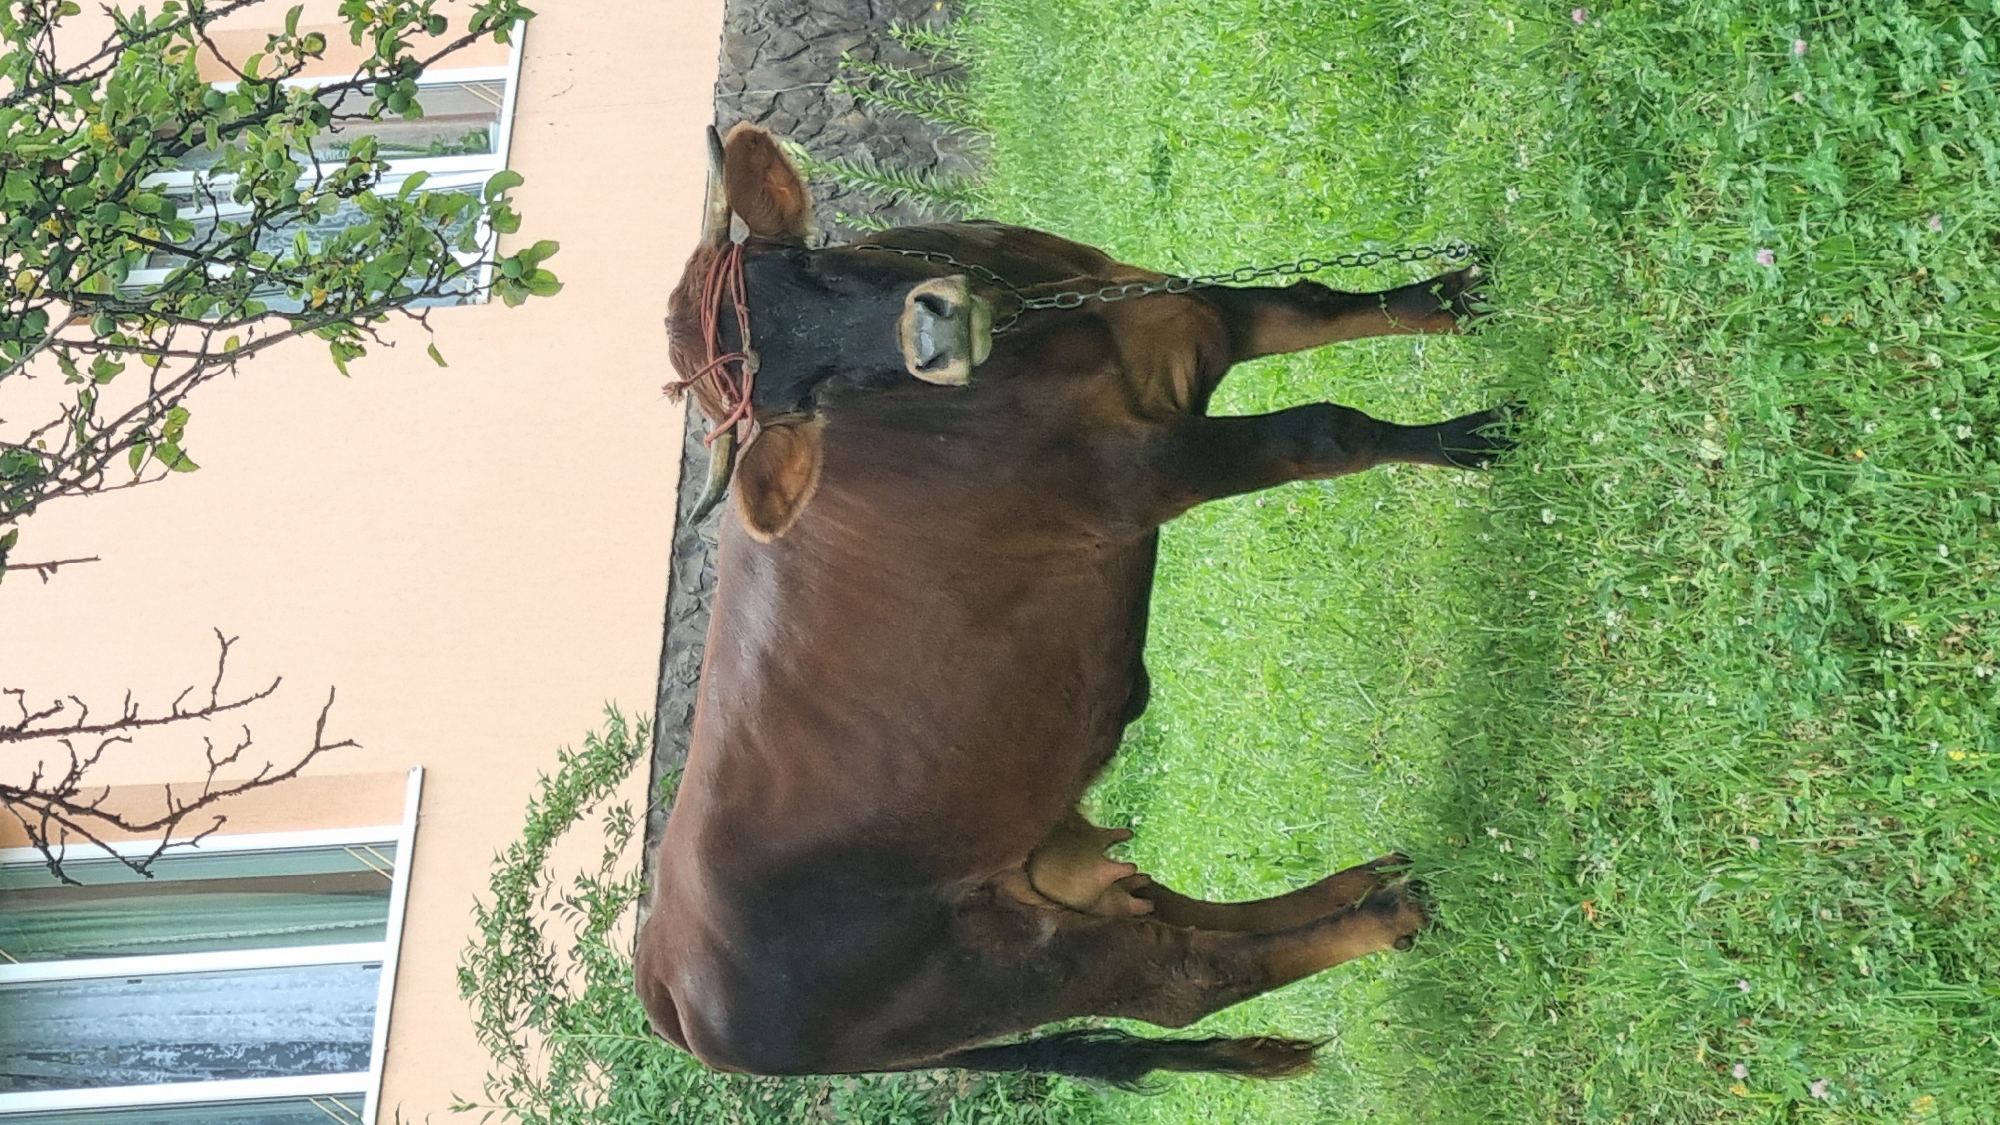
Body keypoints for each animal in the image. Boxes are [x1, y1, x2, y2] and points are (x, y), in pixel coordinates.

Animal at [634, 124, 1509, 1088]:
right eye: (805, 395)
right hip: (999, 966)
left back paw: (1361, 883)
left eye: (811, 267)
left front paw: (1459, 297)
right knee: (1187, 974)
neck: (1046, 323)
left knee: (1167, 909)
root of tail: (666, 982)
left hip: (1043, 863)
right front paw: (1476, 437)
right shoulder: (1143, 471)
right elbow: (1327, 428)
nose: (935, 329)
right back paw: (1390, 911)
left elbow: (1318, 302)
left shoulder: (1177, 304)